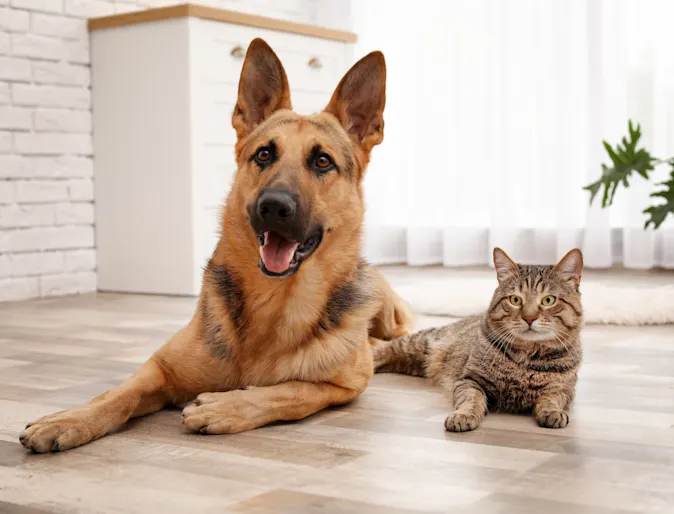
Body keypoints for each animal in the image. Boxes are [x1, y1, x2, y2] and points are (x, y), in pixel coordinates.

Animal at [18, 38, 412, 450]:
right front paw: (71, 418)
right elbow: (117, 394)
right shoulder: (160, 368)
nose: (273, 207)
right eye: (264, 154)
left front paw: (227, 406)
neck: (273, 304)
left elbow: (292, 391)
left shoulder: (344, 386)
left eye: (322, 161)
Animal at [372, 246, 584, 430]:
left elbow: (551, 399)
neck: (526, 357)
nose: (529, 318)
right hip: (420, 343)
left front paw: (552, 412)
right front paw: (463, 415)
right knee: (386, 348)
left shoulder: (564, 390)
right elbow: (471, 399)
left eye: (548, 300)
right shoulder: (470, 379)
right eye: (515, 300)